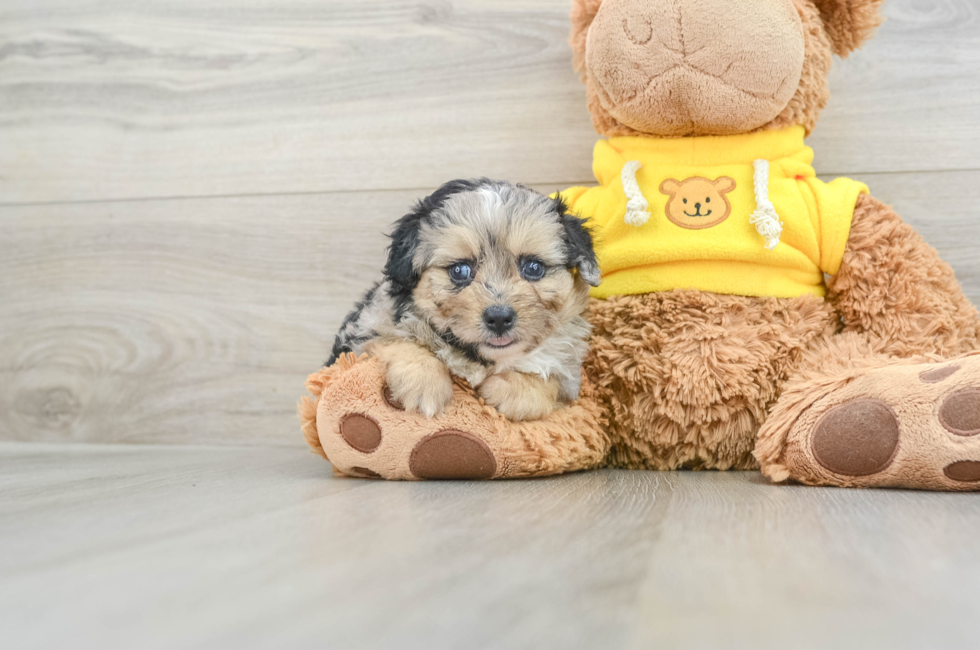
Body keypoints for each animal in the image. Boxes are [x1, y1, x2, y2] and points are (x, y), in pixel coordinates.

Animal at [330, 177, 600, 420]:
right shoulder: (367, 328)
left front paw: (506, 391)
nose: (499, 318)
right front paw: (424, 384)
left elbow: (548, 380)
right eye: (460, 270)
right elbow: (399, 340)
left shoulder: (569, 379)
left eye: (534, 267)